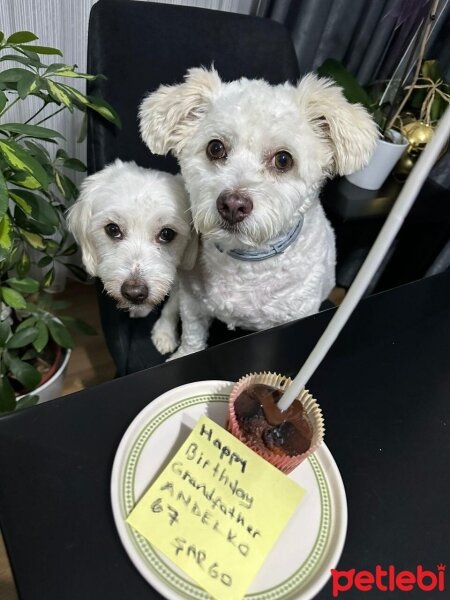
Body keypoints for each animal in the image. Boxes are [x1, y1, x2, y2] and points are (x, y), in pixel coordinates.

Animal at [141, 67, 380, 356]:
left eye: (284, 160)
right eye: (215, 148)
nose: (232, 205)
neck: (246, 262)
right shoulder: (194, 304)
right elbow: (193, 336)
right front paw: (185, 353)